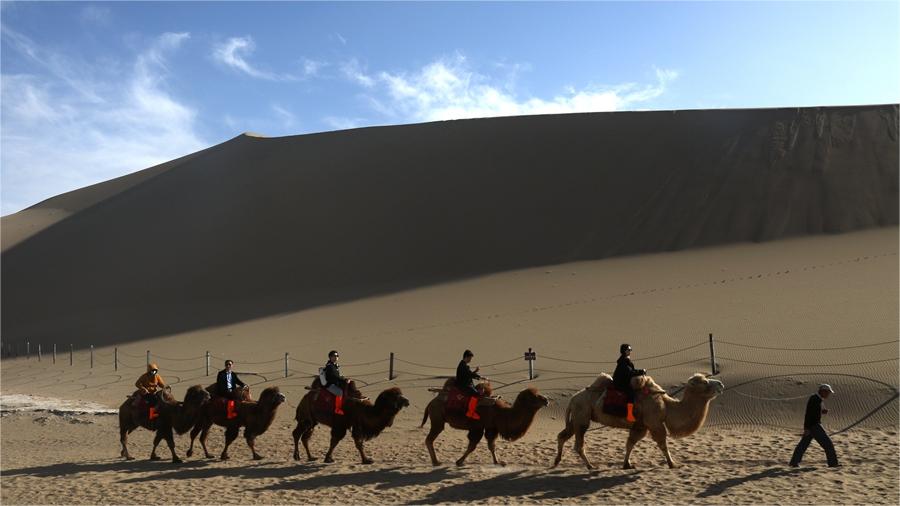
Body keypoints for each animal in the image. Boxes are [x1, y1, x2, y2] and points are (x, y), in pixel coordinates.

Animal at [420, 380, 548, 466]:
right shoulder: (478, 427)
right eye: (533, 397)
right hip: (437, 419)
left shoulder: (491, 427)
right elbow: (473, 445)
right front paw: (459, 461)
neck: (501, 413)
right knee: (429, 439)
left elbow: (491, 446)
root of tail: (431, 402)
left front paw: (497, 462)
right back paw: (436, 462)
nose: (546, 400)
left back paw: (436, 461)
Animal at [556, 372, 724, 470]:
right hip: (582, 416)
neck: (666, 407)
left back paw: (556, 462)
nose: (720, 384)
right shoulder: (655, 423)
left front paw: (627, 464)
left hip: (576, 418)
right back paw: (591, 466)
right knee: (578, 444)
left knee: (562, 436)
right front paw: (672, 463)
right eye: (704, 382)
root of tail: (572, 399)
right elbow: (663, 444)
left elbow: (630, 443)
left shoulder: (641, 426)